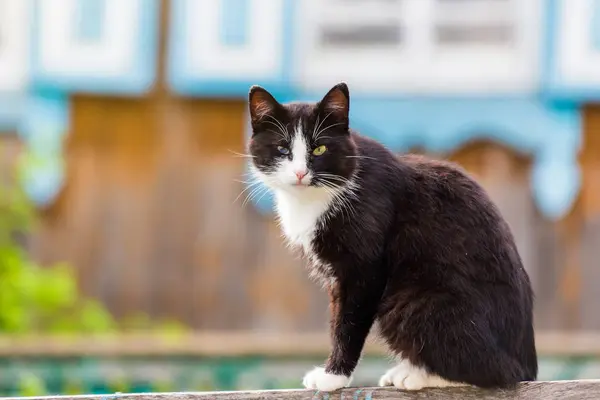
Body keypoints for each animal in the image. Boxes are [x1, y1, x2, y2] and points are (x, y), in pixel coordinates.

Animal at [246, 81, 536, 390]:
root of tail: (526, 366)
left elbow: (347, 324)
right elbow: (337, 318)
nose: (300, 173)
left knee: (494, 374)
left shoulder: (364, 268)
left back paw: (419, 376)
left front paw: (333, 376)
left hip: (413, 301)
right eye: (282, 148)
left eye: (320, 148)